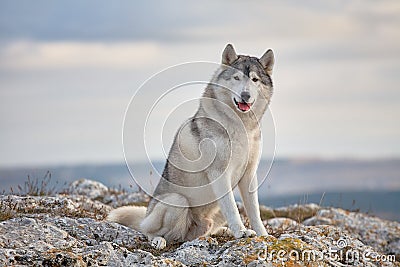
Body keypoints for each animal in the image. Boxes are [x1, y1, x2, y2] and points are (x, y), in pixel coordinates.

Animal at [108, 43, 274, 250]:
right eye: (236, 78)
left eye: (254, 79)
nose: (245, 95)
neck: (241, 126)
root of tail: (146, 214)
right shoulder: (220, 173)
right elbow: (232, 210)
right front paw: (241, 232)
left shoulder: (249, 174)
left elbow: (254, 212)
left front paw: (263, 235)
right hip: (176, 202)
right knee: (153, 232)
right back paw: (158, 240)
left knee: (199, 233)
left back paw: (220, 232)